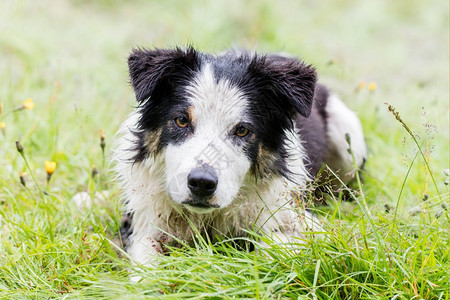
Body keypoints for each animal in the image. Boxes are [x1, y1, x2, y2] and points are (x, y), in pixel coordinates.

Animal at [111, 47, 366, 264]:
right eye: (181, 120)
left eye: (242, 130)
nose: (201, 183)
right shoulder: (140, 218)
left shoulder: (298, 216)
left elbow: (276, 243)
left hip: (348, 139)